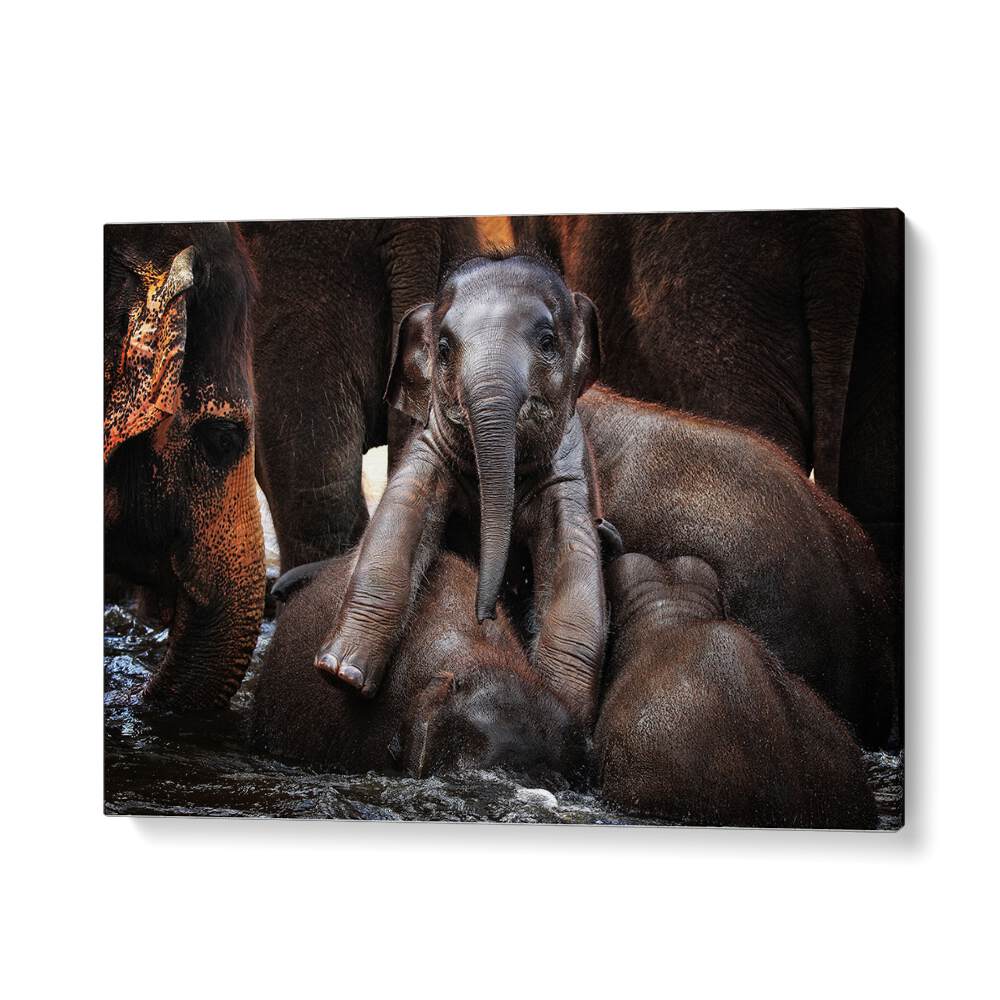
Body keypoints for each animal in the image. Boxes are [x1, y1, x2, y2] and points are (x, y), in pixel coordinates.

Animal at [311, 250, 608, 725]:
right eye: (445, 349)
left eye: (547, 342)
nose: (485, 614)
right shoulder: (429, 449)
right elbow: (399, 519)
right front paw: (341, 674)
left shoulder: (569, 473)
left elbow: (573, 565)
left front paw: (562, 708)